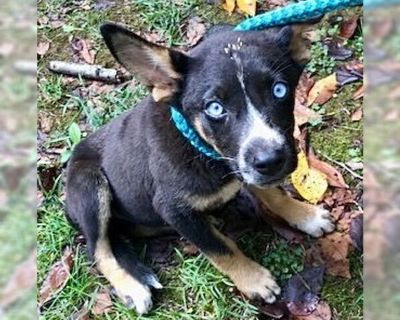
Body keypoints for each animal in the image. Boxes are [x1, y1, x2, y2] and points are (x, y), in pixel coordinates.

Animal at [65, 23, 334, 316]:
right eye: (215, 108)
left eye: (279, 90)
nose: (271, 160)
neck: (202, 149)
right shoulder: (173, 207)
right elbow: (219, 249)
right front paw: (254, 280)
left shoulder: (242, 167)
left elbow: (274, 194)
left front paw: (305, 216)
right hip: (89, 185)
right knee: (98, 250)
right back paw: (132, 286)